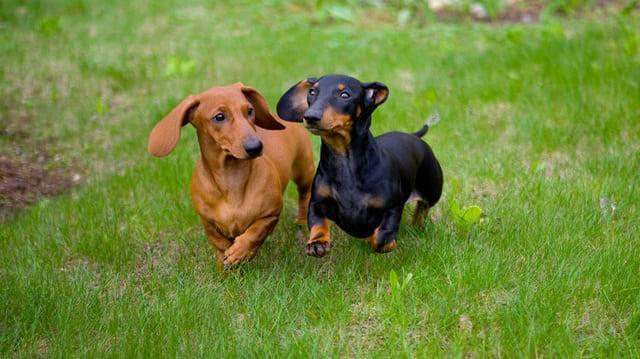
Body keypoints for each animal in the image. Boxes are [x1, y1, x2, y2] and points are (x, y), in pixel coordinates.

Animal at [146, 84, 316, 268]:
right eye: (219, 117)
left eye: (250, 110)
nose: (255, 147)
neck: (232, 179)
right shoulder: (207, 222)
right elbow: (218, 243)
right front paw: (225, 265)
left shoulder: (270, 214)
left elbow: (255, 233)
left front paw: (240, 252)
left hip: (304, 170)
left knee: (305, 195)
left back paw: (302, 221)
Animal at [278, 74, 442, 258]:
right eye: (312, 92)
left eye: (345, 95)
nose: (310, 117)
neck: (345, 161)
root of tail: (414, 136)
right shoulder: (317, 203)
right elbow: (317, 223)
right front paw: (317, 243)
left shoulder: (393, 206)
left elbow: (381, 238)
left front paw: (388, 242)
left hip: (432, 190)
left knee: (423, 208)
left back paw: (417, 226)